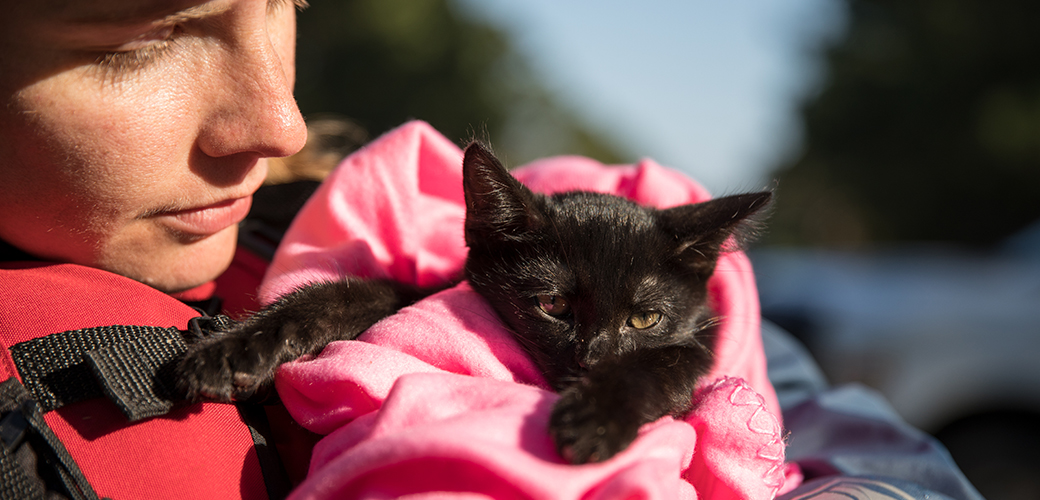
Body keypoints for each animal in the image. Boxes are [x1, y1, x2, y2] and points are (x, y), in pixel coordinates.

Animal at [176, 141, 773, 463]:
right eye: (553, 304)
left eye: (645, 318)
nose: (593, 359)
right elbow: (345, 295)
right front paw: (235, 349)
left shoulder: (697, 352)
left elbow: (662, 363)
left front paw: (596, 418)